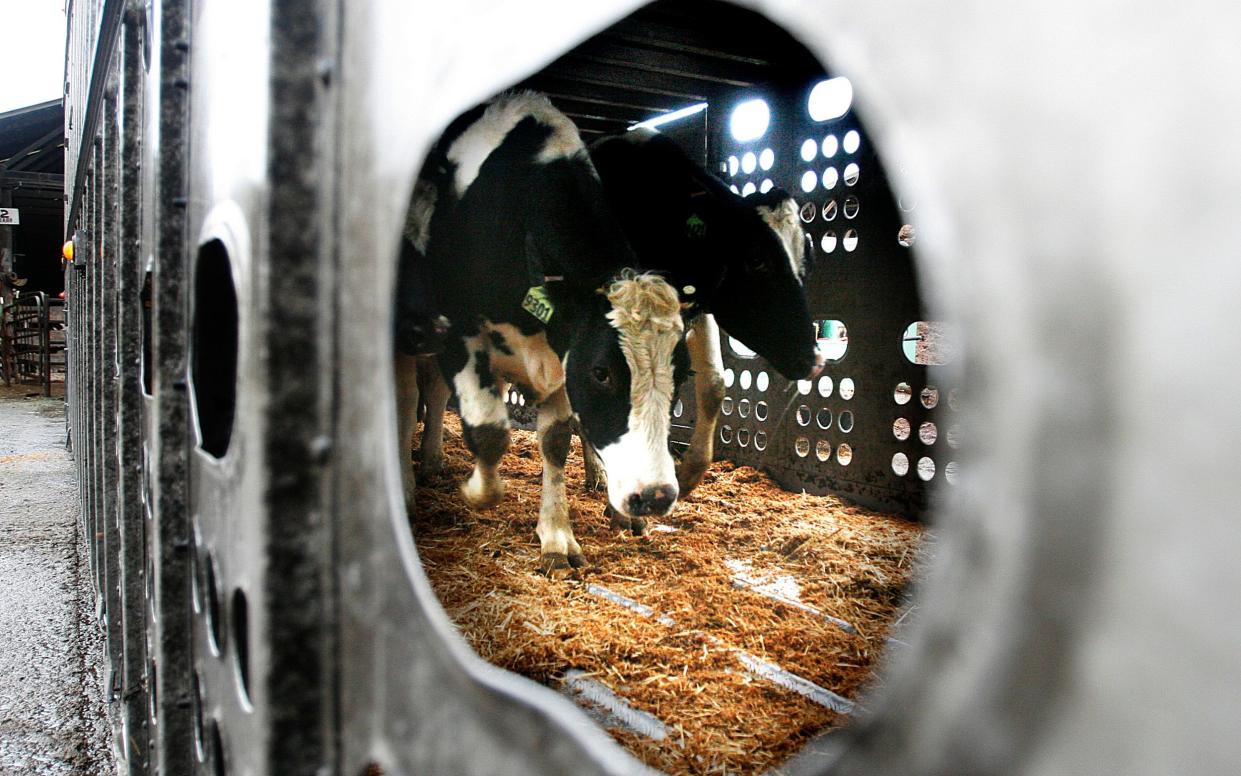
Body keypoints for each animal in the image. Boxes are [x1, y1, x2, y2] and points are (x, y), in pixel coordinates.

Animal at [394, 93, 689, 571]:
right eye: (602, 372)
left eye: (680, 375)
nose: (656, 496)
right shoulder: (456, 335)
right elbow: (490, 432)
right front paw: (478, 491)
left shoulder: (560, 356)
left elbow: (554, 442)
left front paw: (556, 537)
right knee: (407, 401)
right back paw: (407, 484)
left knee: (434, 392)